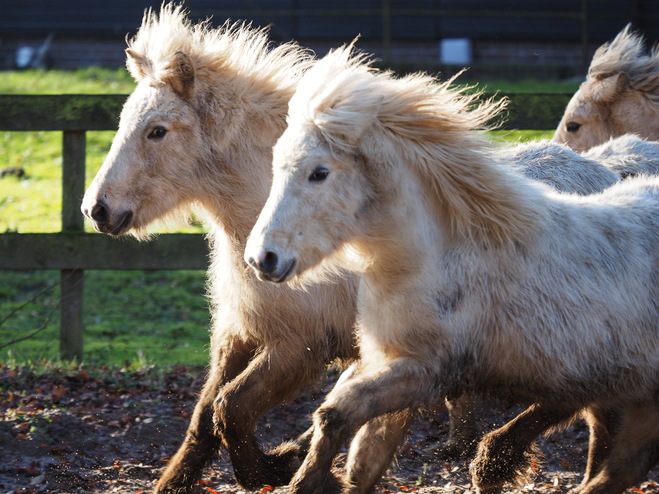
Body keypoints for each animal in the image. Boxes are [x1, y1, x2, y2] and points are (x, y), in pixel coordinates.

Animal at [244, 47, 659, 494]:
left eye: (318, 173)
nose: (262, 259)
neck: (435, 257)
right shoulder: (386, 365)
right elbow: (360, 456)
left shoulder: (422, 371)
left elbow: (335, 414)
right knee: (618, 456)